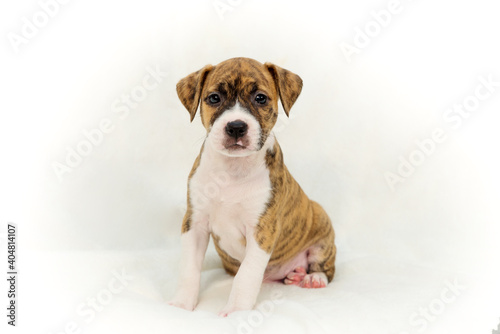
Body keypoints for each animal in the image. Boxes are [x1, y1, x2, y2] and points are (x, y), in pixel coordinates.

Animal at [169, 57, 336, 316]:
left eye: (260, 98)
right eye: (214, 98)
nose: (236, 126)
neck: (233, 169)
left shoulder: (262, 230)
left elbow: (246, 275)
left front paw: (237, 311)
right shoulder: (194, 223)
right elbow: (189, 269)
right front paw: (181, 305)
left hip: (321, 224)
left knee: (326, 266)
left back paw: (312, 278)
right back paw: (295, 275)